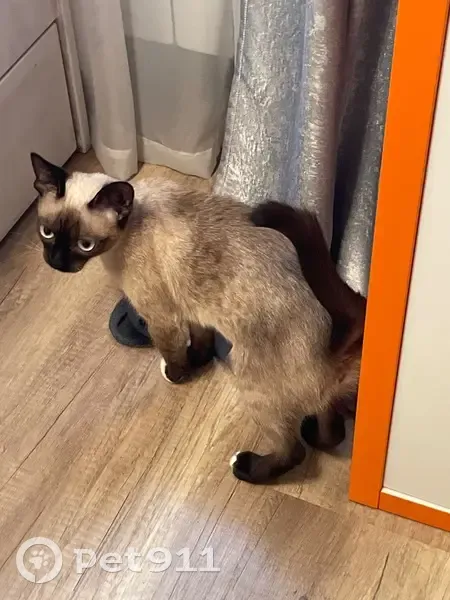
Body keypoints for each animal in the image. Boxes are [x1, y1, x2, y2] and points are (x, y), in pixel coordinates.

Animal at [31, 152, 360, 483]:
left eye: (85, 244)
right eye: (47, 233)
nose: (57, 263)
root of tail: (334, 350)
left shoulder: (162, 317)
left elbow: (172, 351)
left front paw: (176, 375)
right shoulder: (195, 308)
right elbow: (200, 341)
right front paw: (197, 361)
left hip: (253, 386)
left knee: (293, 452)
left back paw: (246, 467)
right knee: (331, 427)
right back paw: (313, 431)